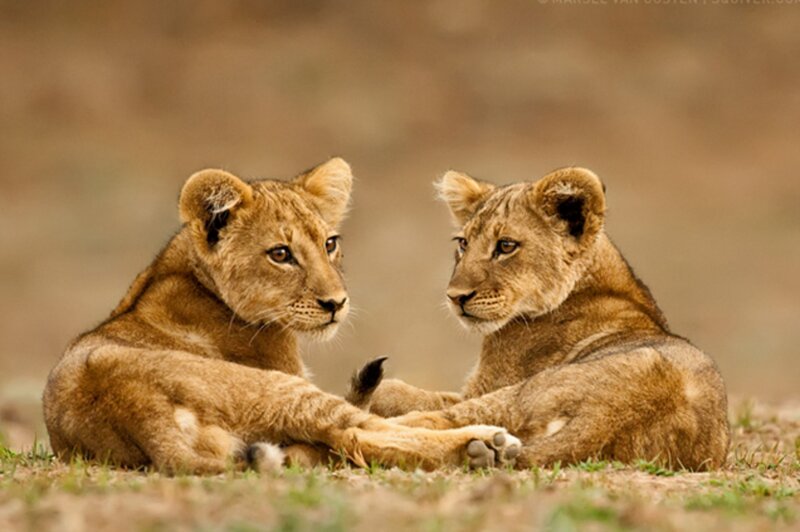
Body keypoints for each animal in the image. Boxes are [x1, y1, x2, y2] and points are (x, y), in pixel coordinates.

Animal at [42, 157, 522, 474]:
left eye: (330, 243)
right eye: (280, 254)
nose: (336, 303)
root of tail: (137, 409)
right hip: (276, 388)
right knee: (358, 431)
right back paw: (483, 442)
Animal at [349, 167, 730, 470]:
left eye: (506, 246)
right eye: (462, 243)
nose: (455, 297)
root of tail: (609, 416)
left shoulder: (487, 385)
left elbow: (408, 394)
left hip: (519, 394)